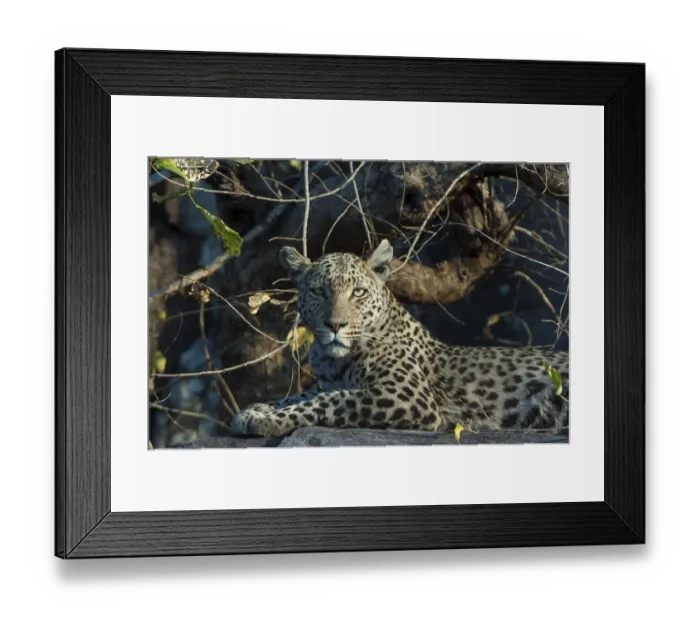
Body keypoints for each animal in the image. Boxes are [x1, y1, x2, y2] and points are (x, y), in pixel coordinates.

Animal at [230, 239, 569, 439]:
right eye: (318, 291)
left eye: (358, 293)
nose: (335, 325)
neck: (333, 360)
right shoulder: (331, 382)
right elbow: (301, 395)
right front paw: (256, 409)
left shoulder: (405, 396)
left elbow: (330, 400)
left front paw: (267, 420)